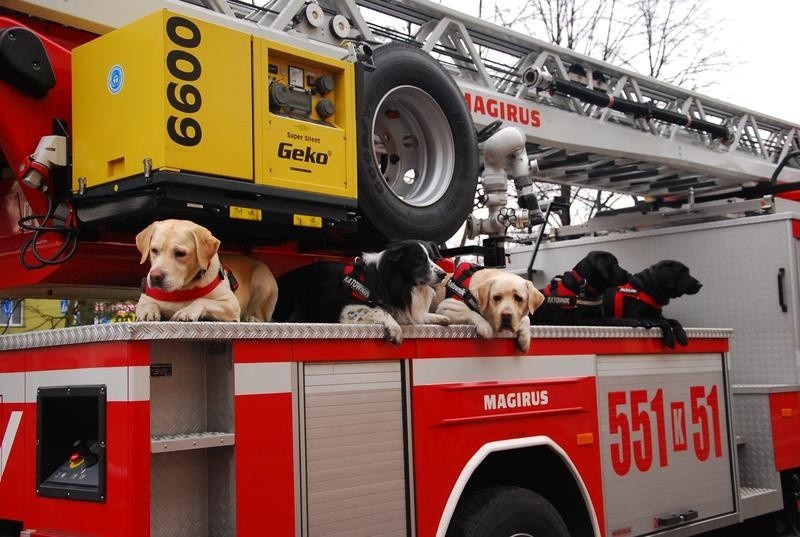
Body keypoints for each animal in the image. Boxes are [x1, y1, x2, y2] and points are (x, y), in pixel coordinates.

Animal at [135, 219, 278, 322]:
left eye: (180, 253)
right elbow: (147, 304)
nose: (155, 276)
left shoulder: (231, 303)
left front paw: (187, 311)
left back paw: (253, 318)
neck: (183, 289)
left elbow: (202, 300)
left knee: (263, 318)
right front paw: (148, 311)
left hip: (261, 280)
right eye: (154, 250)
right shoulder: (145, 298)